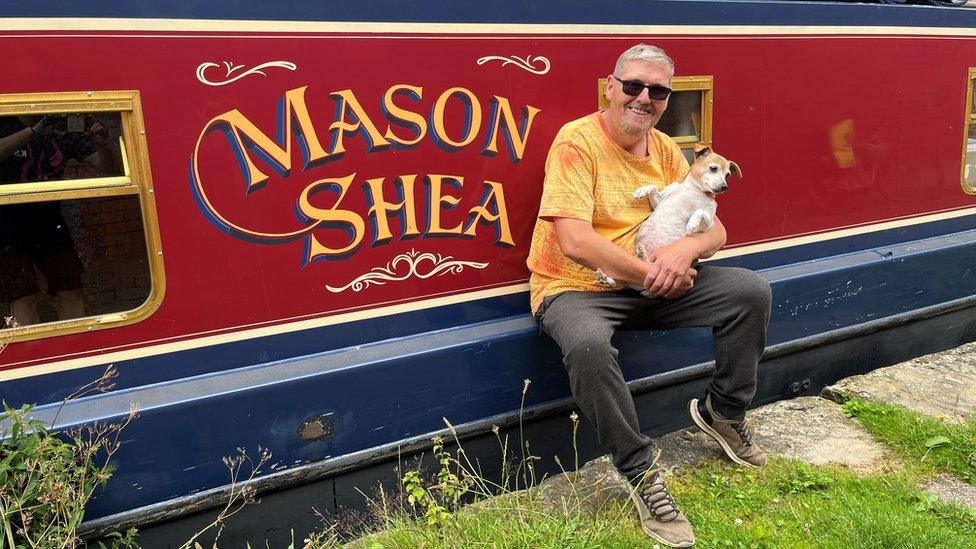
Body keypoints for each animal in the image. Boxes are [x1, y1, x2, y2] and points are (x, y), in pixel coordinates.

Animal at [596, 146, 740, 288]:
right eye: (713, 168)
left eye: (727, 175)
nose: (724, 186)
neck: (695, 190)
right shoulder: (659, 202)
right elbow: (653, 188)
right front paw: (642, 190)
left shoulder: (709, 223)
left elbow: (700, 211)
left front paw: (692, 223)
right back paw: (606, 278)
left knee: (646, 267)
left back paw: (641, 256)